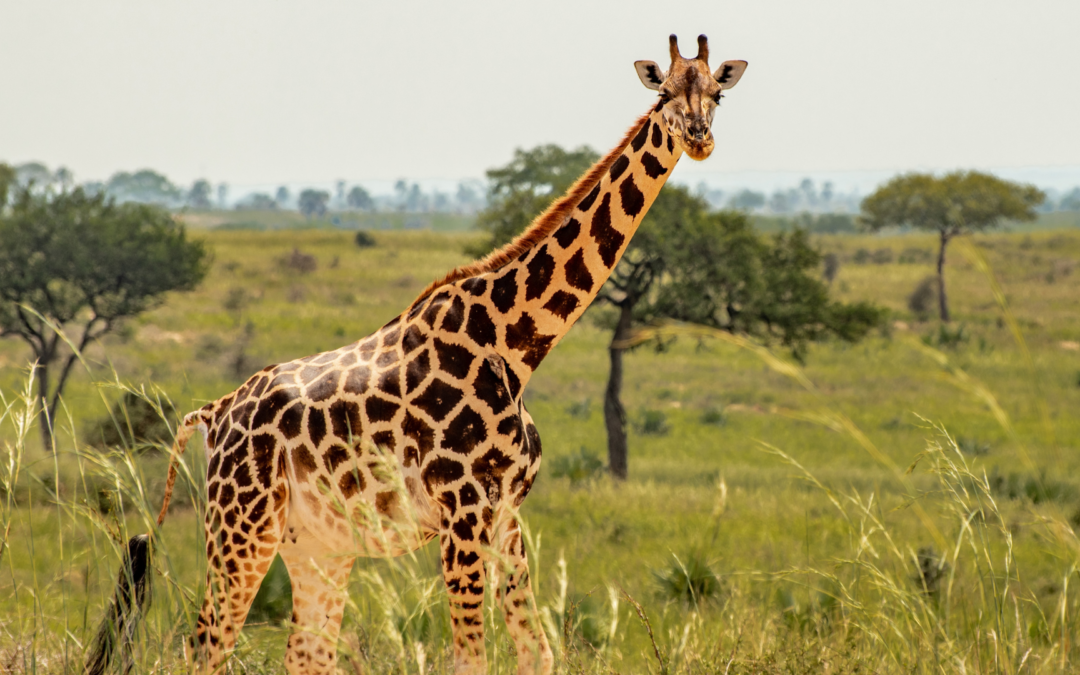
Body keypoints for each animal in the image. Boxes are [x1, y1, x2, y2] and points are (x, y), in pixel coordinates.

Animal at [86, 34, 746, 675]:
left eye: (717, 93)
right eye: (663, 94)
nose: (699, 138)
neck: (518, 346)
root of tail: (214, 413)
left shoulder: (506, 515)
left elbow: (539, 652)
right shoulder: (463, 510)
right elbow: (471, 657)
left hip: (316, 544)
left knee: (307, 653)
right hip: (241, 525)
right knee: (207, 643)